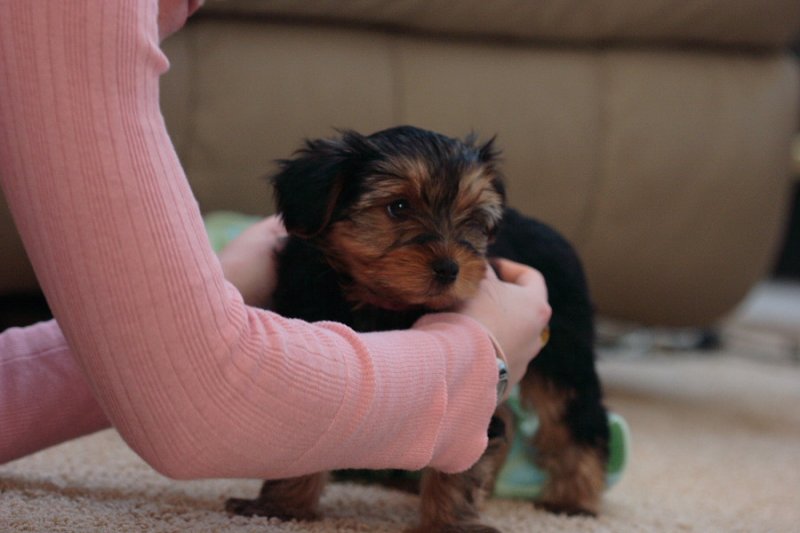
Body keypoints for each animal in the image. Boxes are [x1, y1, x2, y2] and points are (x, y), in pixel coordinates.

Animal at [225, 125, 608, 532]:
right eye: (398, 207)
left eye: (473, 220)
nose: (450, 268)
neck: (383, 300)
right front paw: (283, 505)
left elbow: (463, 451)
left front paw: (449, 523)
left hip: (563, 353)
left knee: (576, 419)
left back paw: (574, 499)